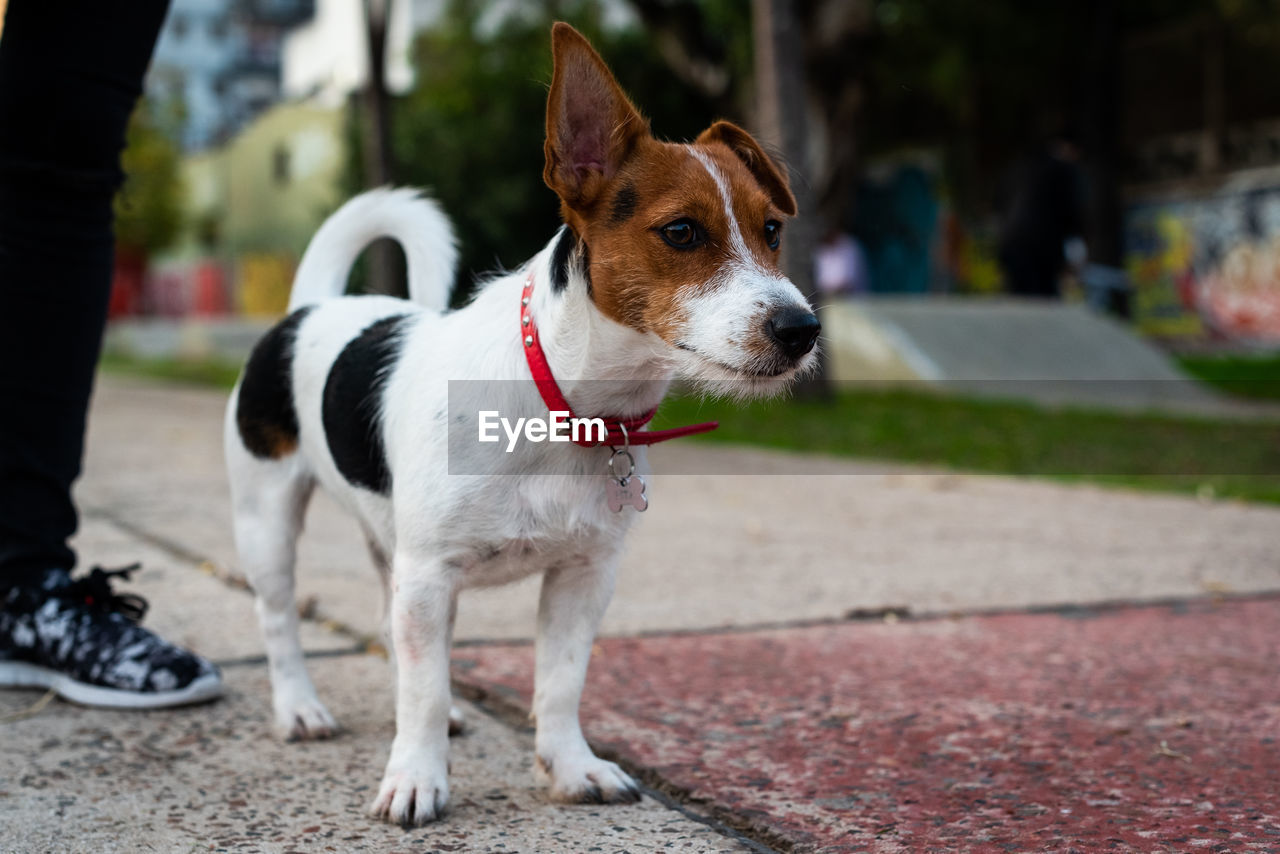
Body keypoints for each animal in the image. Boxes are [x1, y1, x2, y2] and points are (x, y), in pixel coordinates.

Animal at [222, 23, 819, 829]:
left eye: (773, 230)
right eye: (682, 232)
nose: (803, 330)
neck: (563, 405)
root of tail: (311, 307)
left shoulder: (584, 574)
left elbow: (558, 684)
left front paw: (570, 768)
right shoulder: (430, 574)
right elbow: (421, 687)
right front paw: (415, 778)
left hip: (388, 542)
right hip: (268, 520)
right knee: (280, 618)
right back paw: (299, 708)